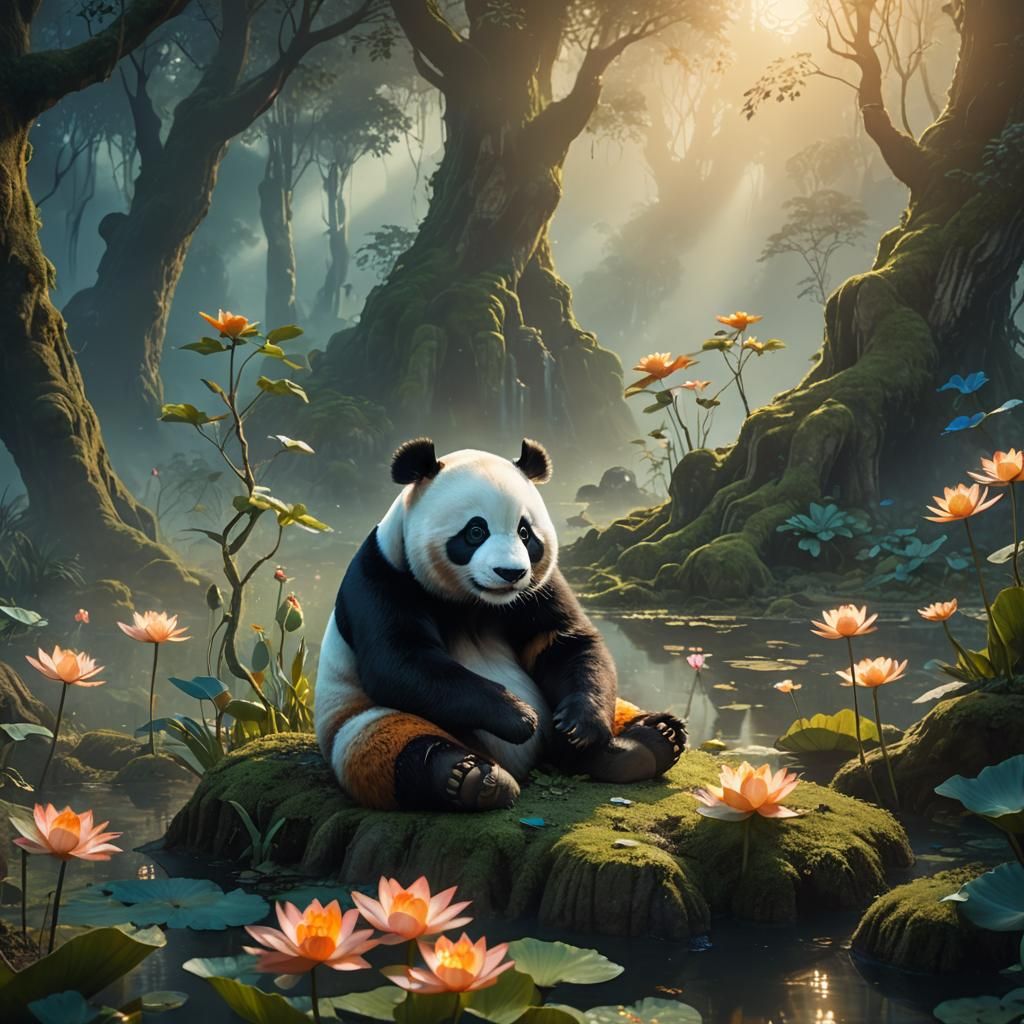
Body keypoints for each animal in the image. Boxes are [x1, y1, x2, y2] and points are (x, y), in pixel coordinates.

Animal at [314, 437, 686, 812]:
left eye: (525, 533)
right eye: (475, 531)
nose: (511, 573)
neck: (475, 603)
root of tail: (527, 764)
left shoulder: (539, 588)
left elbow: (564, 641)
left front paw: (580, 727)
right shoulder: (382, 576)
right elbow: (400, 660)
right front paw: (520, 718)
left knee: (614, 716)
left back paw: (648, 742)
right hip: (360, 722)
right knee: (394, 744)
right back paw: (469, 778)